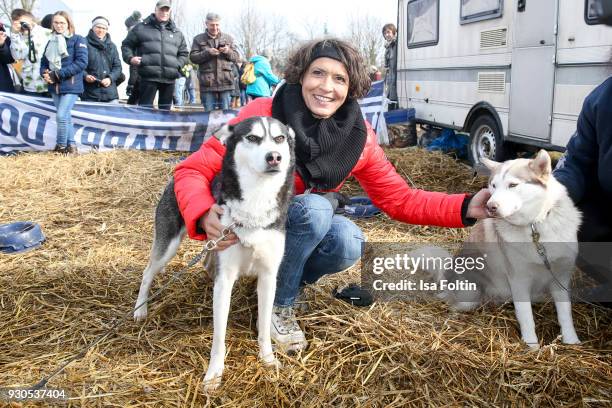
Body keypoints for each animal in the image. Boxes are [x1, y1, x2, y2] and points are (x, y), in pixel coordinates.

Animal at [134, 117, 296, 388]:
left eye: (280, 138)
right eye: (252, 138)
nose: (275, 157)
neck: (256, 201)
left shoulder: (268, 277)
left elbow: (264, 327)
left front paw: (268, 360)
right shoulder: (225, 280)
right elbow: (219, 336)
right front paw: (214, 374)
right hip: (168, 246)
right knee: (148, 273)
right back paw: (139, 310)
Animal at [418, 151, 580, 350]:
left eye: (513, 185)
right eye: (493, 186)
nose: (490, 206)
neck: (535, 227)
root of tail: (446, 276)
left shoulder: (561, 277)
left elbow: (565, 314)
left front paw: (572, 340)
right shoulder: (519, 280)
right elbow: (526, 317)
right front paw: (532, 347)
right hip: (469, 294)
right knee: (453, 303)